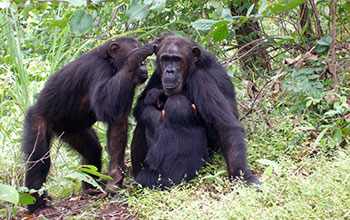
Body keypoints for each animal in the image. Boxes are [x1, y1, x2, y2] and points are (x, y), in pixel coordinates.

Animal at [22, 36, 156, 215]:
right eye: (139, 58)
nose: (143, 65)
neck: (111, 63)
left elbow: (117, 120)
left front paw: (114, 178)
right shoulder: (99, 70)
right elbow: (106, 105)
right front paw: (135, 57)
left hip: (73, 131)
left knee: (92, 151)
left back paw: (89, 188)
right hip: (37, 119)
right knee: (39, 160)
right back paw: (38, 206)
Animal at [131, 35, 260, 186]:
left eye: (177, 59)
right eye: (165, 59)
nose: (169, 70)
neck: (191, 71)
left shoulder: (203, 80)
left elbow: (225, 128)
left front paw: (243, 175)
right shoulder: (157, 73)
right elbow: (140, 105)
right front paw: (154, 111)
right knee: (142, 123)